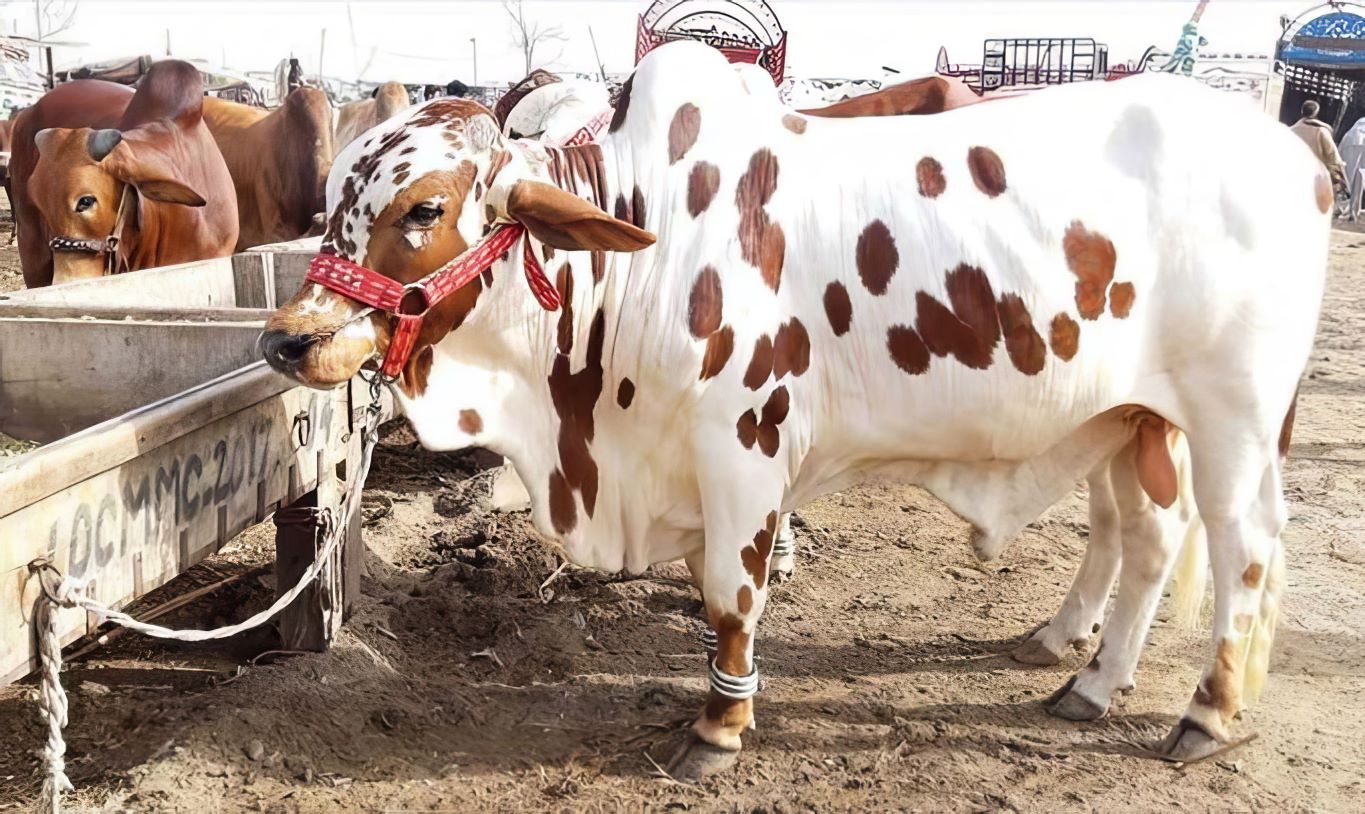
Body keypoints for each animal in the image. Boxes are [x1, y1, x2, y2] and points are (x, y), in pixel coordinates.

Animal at [260, 42, 1326, 775]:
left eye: (424, 210)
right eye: (333, 195)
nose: (289, 340)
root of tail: (1299, 156)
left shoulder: (742, 447)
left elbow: (733, 598)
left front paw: (719, 726)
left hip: (1230, 424)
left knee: (1244, 552)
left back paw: (1203, 713)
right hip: (1132, 420)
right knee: (1142, 540)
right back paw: (1088, 678)